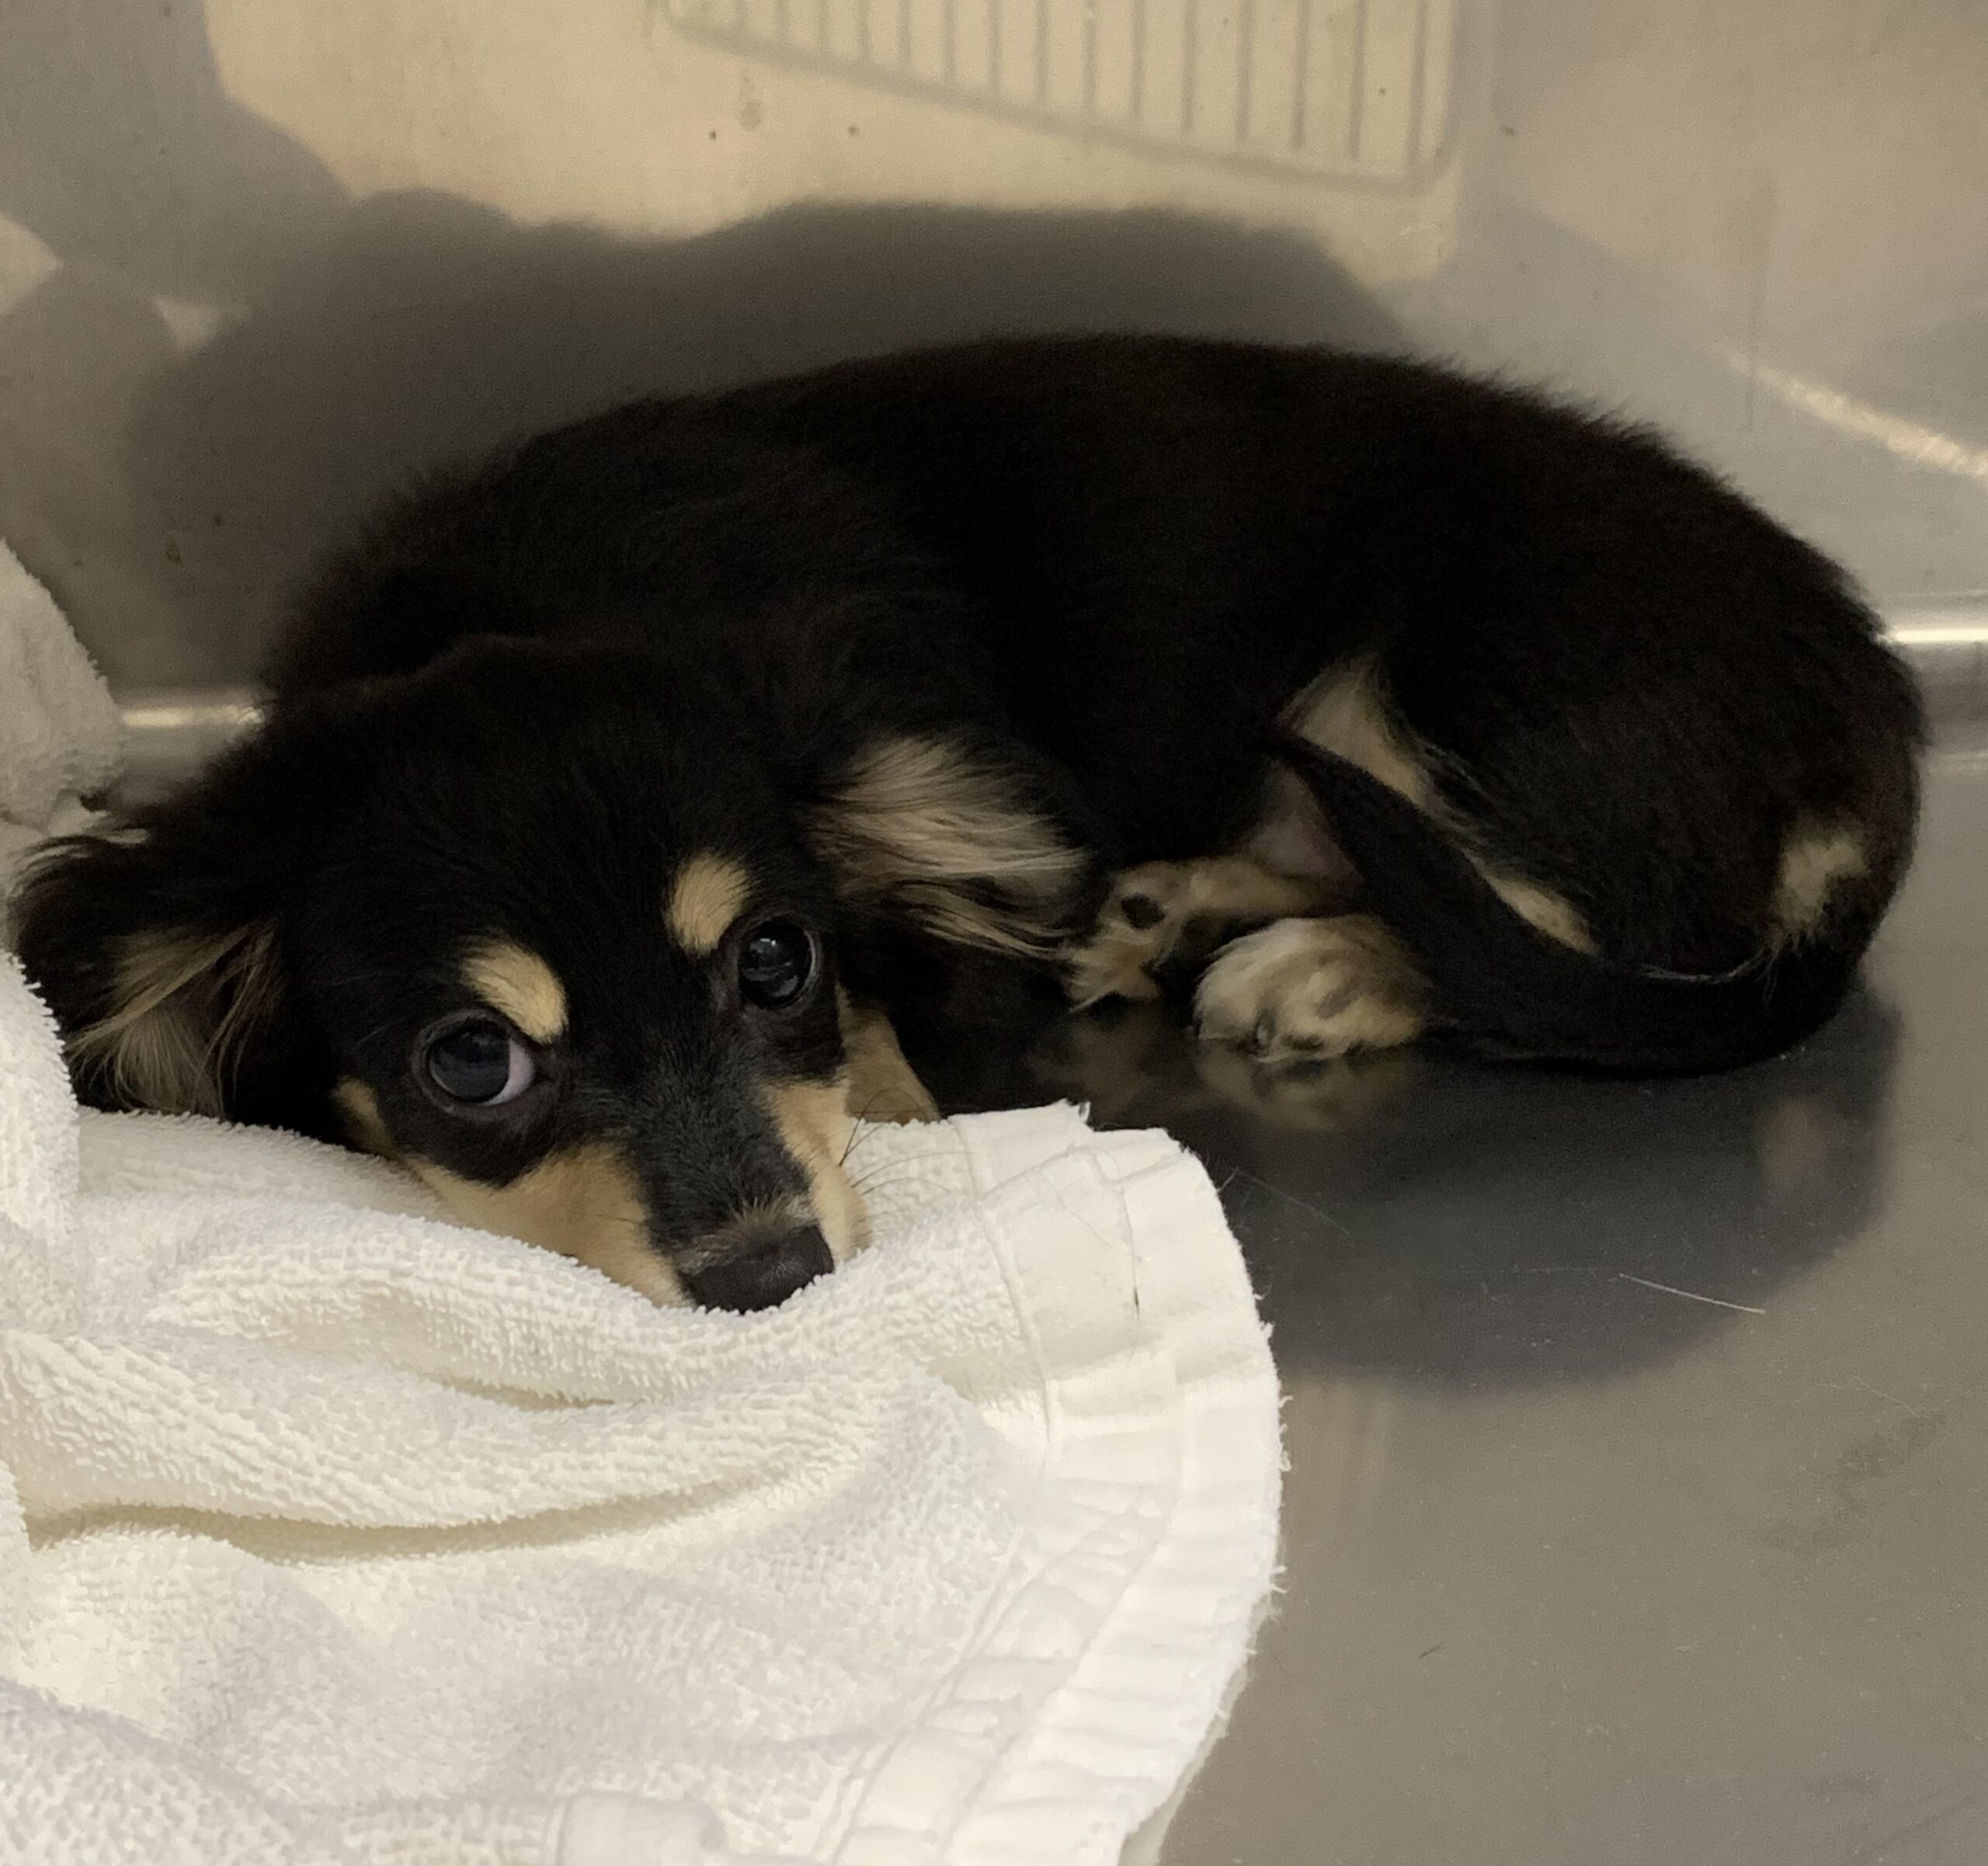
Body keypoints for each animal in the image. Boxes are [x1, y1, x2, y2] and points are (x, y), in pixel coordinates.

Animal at [13, 335, 1923, 1309]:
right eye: (468, 1061)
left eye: (777, 958)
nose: (772, 1274)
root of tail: (1876, 706)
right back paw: (1160, 910)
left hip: (1444, 672)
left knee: (1558, 925)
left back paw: (1312, 967)